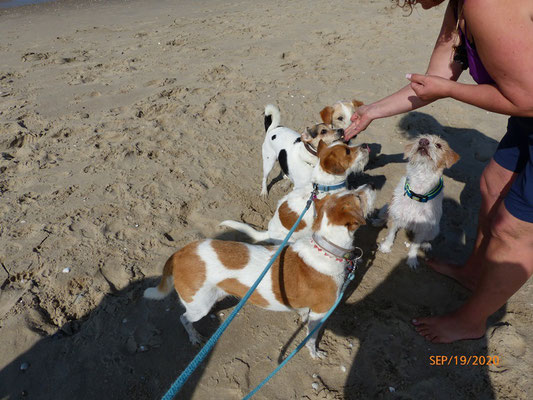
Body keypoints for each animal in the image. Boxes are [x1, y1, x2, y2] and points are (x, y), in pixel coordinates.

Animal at [142, 188, 374, 360]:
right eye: (358, 196)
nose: (370, 186)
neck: (326, 248)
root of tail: (180, 253)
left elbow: (303, 314)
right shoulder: (320, 314)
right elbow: (310, 339)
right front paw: (315, 353)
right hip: (199, 306)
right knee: (184, 318)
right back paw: (194, 336)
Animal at [376, 134, 460, 268]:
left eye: (439, 145)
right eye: (422, 138)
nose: (423, 141)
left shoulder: (424, 226)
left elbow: (415, 245)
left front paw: (412, 259)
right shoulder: (396, 215)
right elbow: (391, 233)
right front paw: (386, 247)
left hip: (434, 229)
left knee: (425, 239)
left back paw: (426, 245)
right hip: (387, 208)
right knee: (384, 216)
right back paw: (377, 221)